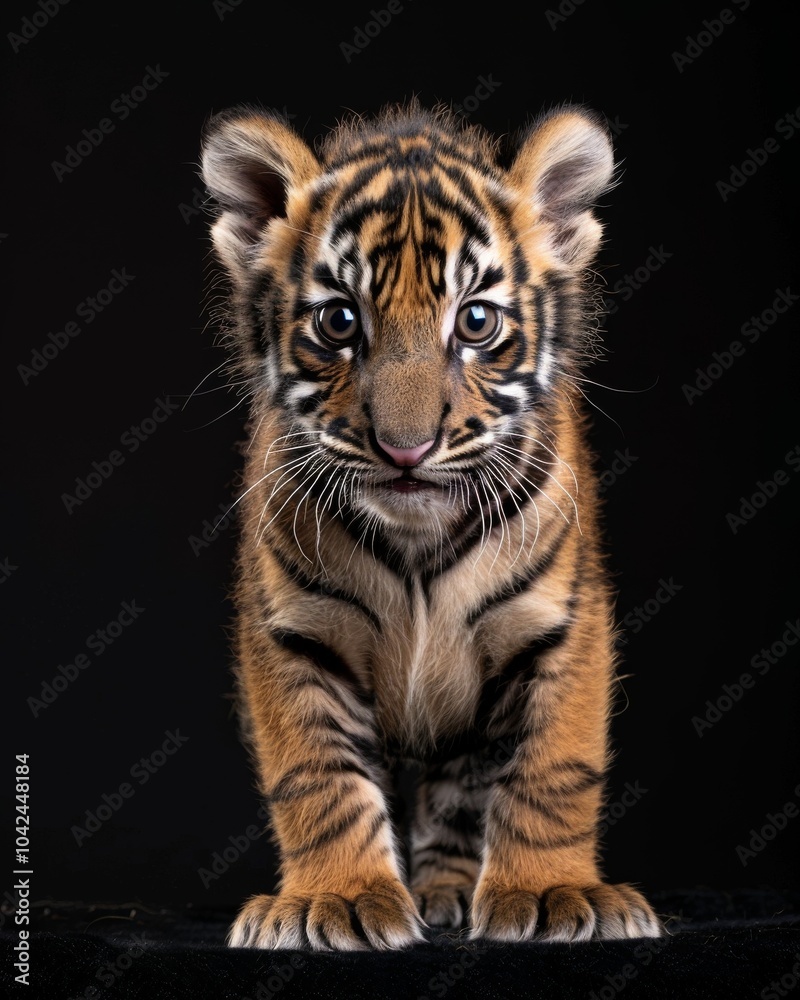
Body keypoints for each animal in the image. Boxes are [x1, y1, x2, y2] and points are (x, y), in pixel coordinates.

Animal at [199, 99, 664, 950]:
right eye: (339, 321)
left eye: (475, 322)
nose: (405, 446)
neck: (417, 540)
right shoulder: (292, 628)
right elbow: (316, 777)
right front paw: (339, 897)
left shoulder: (563, 624)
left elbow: (553, 770)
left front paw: (550, 889)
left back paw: (450, 889)